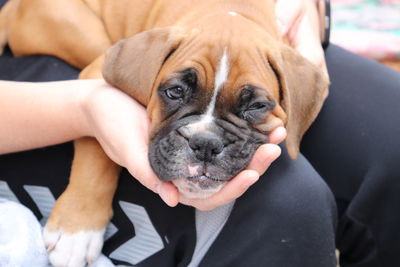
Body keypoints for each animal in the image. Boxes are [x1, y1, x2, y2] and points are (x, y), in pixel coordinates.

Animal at [0, 0, 328, 266]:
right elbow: (96, 150)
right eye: (175, 92)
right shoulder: (95, 79)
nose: (205, 144)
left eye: (257, 106)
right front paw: (76, 231)